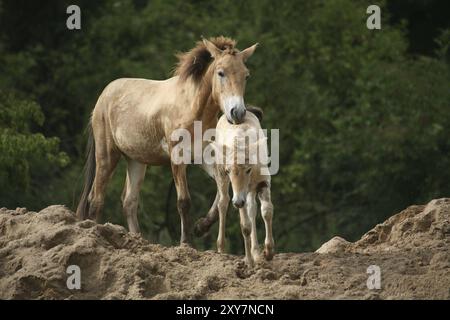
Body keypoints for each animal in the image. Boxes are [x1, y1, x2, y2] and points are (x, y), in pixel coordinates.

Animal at [76, 36, 256, 244]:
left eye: (246, 75)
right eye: (221, 73)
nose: (238, 113)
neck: (192, 108)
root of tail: (102, 99)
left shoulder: (202, 156)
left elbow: (222, 188)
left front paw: (201, 227)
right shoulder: (177, 157)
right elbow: (184, 201)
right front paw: (186, 242)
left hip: (136, 161)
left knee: (129, 201)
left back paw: (138, 239)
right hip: (107, 155)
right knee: (96, 199)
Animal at [207, 111, 274, 266]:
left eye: (248, 169)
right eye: (228, 170)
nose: (237, 202)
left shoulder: (263, 181)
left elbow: (267, 211)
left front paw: (268, 252)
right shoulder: (238, 192)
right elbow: (245, 226)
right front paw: (249, 262)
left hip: (250, 190)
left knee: (252, 208)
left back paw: (256, 253)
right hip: (221, 177)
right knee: (223, 202)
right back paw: (221, 248)